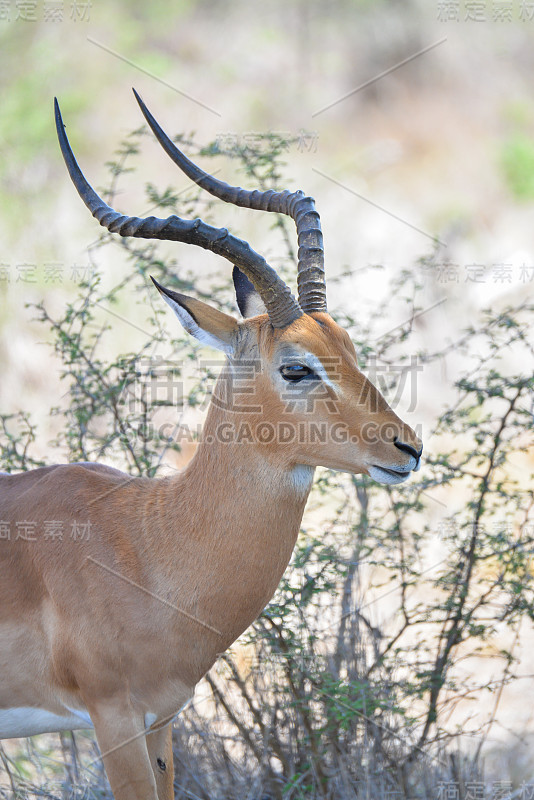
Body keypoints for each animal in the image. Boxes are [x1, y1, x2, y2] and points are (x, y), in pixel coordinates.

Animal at [1, 90, 428, 800]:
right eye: (295, 367)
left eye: (347, 344)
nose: (408, 448)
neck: (145, 541)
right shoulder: (113, 720)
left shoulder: (162, 721)